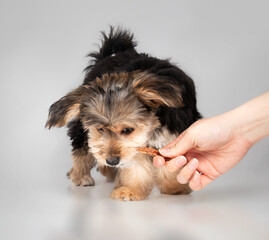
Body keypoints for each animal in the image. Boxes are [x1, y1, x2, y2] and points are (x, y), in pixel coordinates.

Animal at [46, 27, 200, 202]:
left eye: (127, 130)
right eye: (100, 129)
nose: (112, 160)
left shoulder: (174, 133)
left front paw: (174, 187)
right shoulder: (132, 147)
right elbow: (135, 165)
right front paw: (130, 189)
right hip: (81, 123)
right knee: (82, 146)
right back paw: (81, 175)